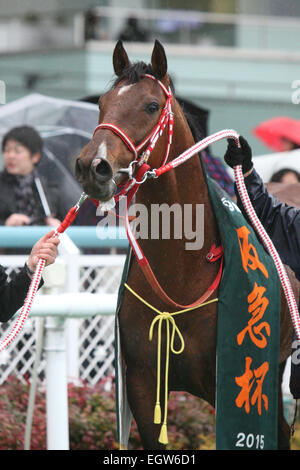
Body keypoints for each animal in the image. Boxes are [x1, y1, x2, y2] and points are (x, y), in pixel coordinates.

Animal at [75, 39, 298, 448]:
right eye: (102, 102)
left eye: (151, 106)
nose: (92, 166)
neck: (181, 273)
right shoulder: (143, 385)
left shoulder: (228, 387)